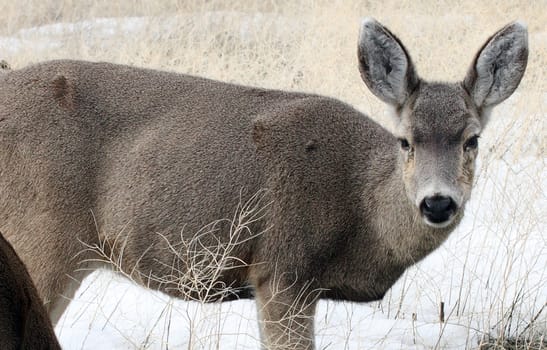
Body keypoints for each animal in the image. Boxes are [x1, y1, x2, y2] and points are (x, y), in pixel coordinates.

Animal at [1, 18, 532, 348]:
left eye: (472, 140)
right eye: (406, 141)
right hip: (42, 234)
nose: (437, 203)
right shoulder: (283, 268)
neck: (361, 212)